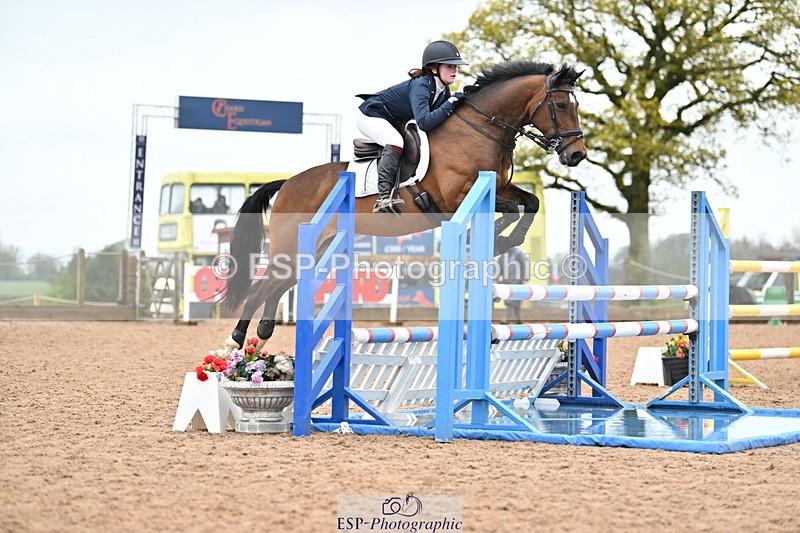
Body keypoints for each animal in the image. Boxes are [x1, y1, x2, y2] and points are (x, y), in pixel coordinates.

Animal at [221, 60, 587, 352]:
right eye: (560, 104)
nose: (577, 155)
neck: (480, 131)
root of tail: (287, 183)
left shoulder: (500, 187)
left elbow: (531, 203)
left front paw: (506, 240)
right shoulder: (455, 199)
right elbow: (510, 209)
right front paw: (494, 239)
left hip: (312, 250)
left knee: (277, 286)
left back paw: (262, 336)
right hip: (291, 247)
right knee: (259, 289)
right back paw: (234, 343)